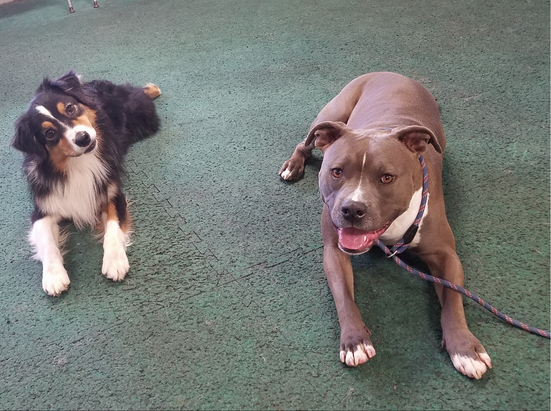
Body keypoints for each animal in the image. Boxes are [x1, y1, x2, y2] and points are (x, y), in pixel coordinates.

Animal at [12, 71, 161, 296]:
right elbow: (47, 242)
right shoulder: (43, 207)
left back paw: (153, 88)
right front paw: (54, 276)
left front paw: (115, 261)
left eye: (70, 108)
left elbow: (113, 227)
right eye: (49, 133)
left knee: (136, 92)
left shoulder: (112, 193)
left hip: (144, 118)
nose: (83, 138)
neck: (77, 163)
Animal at [279, 72, 492, 379]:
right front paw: (355, 340)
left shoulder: (446, 256)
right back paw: (292, 165)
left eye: (387, 178)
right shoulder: (334, 250)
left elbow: (453, 299)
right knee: (304, 142)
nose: (352, 209)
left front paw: (464, 347)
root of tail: (393, 73)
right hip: (332, 114)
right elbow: (344, 297)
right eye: (336, 171)